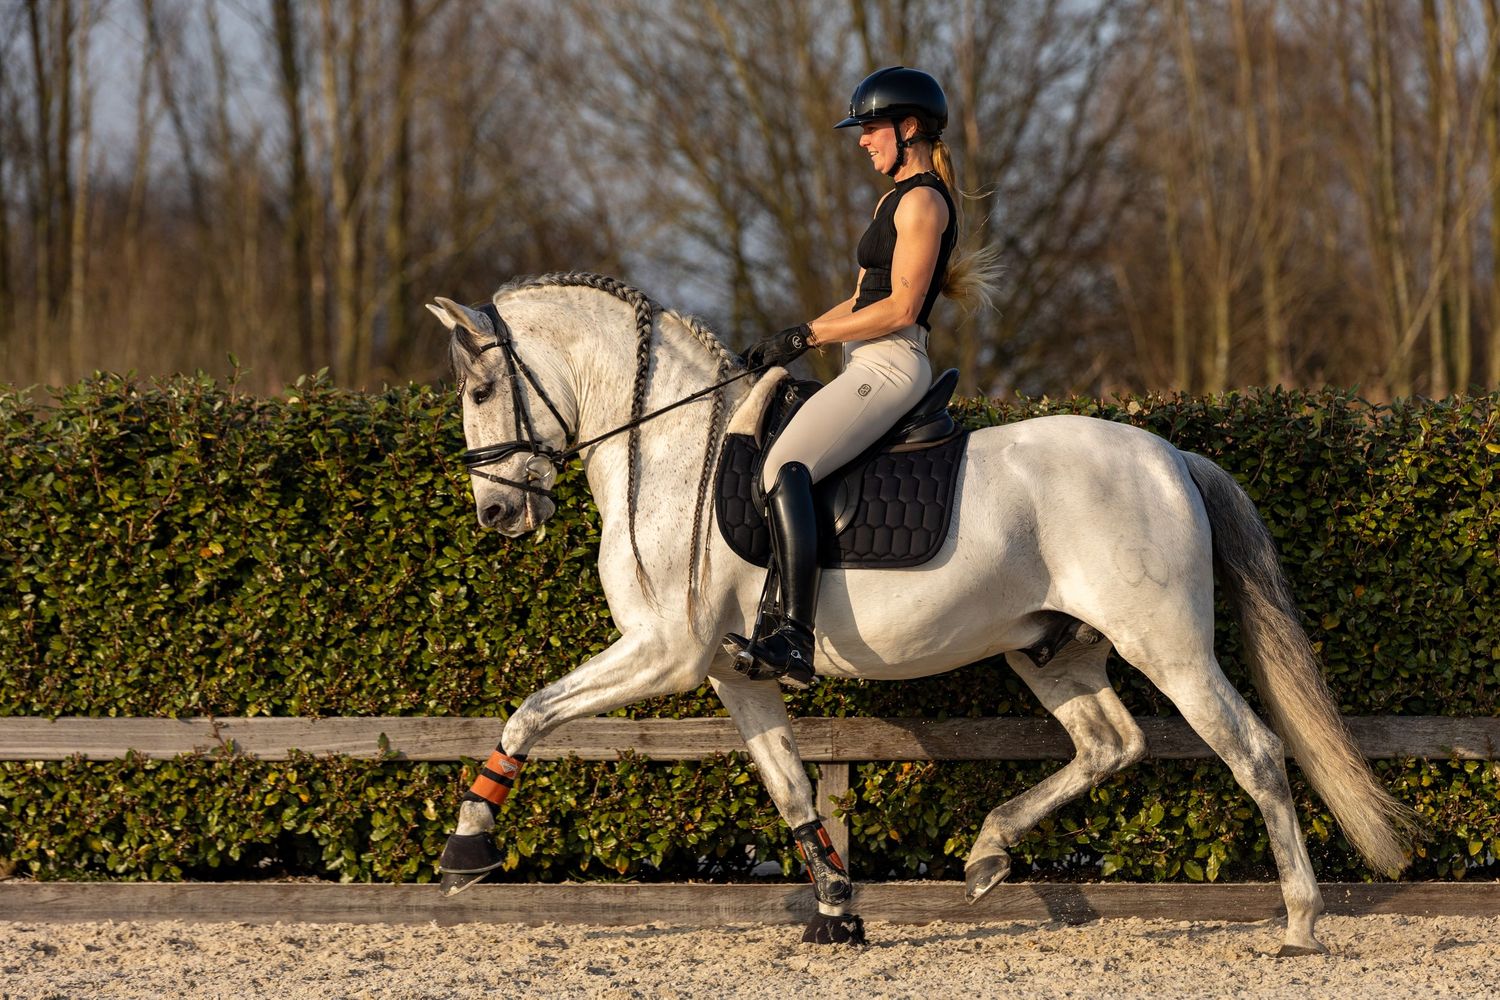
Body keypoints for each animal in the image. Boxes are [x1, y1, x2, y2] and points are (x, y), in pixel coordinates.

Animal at [425, 272, 1415, 954]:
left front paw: (468, 849)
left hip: (1168, 646)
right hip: (1054, 650)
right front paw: (836, 912)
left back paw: (1300, 922)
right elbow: (790, 785)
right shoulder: (728, 671)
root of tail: (1171, 455)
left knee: (1255, 753)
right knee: (1110, 743)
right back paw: (987, 854)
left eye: (479, 393)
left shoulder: (662, 651)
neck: (668, 448)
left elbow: (530, 713)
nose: (497, 515)